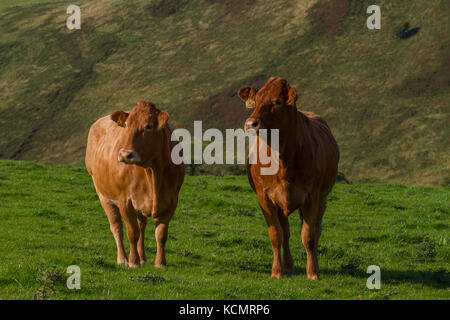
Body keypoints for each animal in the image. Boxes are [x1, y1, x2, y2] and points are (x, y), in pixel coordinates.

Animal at [86, 100, 185, 268]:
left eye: (148, 126)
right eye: (126, 125)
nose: (125, 155)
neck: (153, 172)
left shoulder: (172, 201)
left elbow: (161, 234)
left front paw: (160, 262)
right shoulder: (125, 200)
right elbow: (132, 232)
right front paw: (133, 262)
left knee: (142, 226)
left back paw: (143, 257)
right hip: (103, 195)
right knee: (117, 227)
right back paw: (123, 259)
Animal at [239, 77, 338, 278]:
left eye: (277, 101)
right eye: (257, 99)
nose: (251, 123)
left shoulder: (312, 196)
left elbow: (309, 236)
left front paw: (312, 273)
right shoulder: (265, 197)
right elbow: (276, 235)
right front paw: (277, 271)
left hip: (323, 199)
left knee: (317, 230)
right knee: (285, 231)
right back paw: (288, 265)